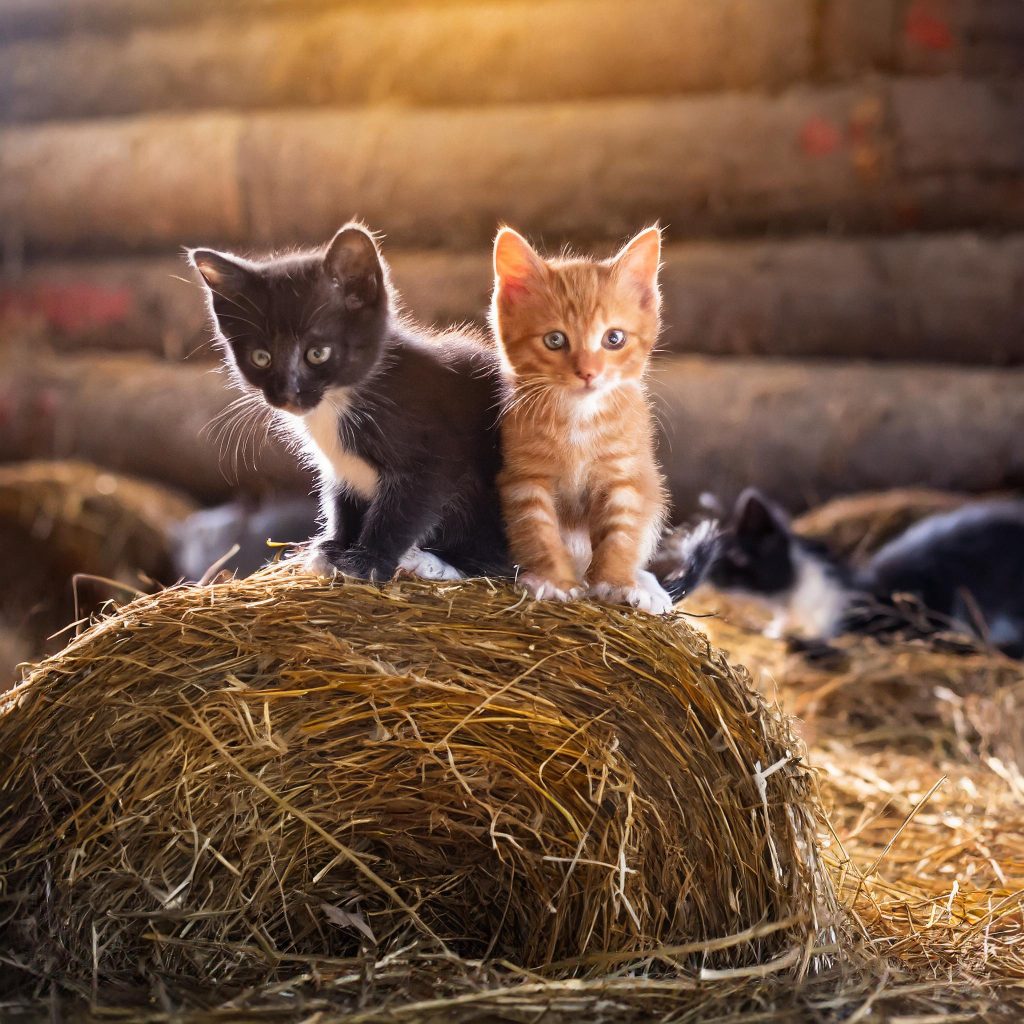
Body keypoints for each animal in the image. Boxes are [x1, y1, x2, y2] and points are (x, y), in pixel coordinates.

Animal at [188, 220, 507, 581]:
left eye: (317, 353)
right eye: (261, 358)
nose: (287, 393)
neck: (338, 401)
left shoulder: (434, 452)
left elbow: (402, 512)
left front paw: (367, 561)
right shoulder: (339, 467)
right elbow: (342, 501)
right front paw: (333, 547)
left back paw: (436, 564)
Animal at [487, 228, 671, 610]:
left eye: (613, 338)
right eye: (555, 339)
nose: (588, 373)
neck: (579, 418)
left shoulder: (626, 476)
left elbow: (621, 534)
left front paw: (615, 582)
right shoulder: (525, 477)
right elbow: (538, 530)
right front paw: (554, 580)